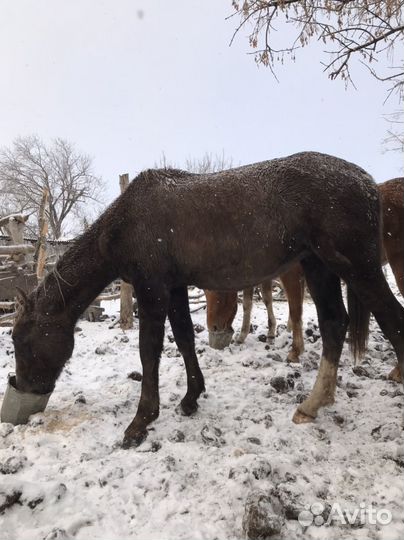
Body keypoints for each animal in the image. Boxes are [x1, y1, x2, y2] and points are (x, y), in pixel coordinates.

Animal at [207, 176, 402, 368]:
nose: (213, 329)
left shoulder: (290, 275)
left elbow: (294, 309)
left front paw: (294, 350)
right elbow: (261, 300)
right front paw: (265, 332)